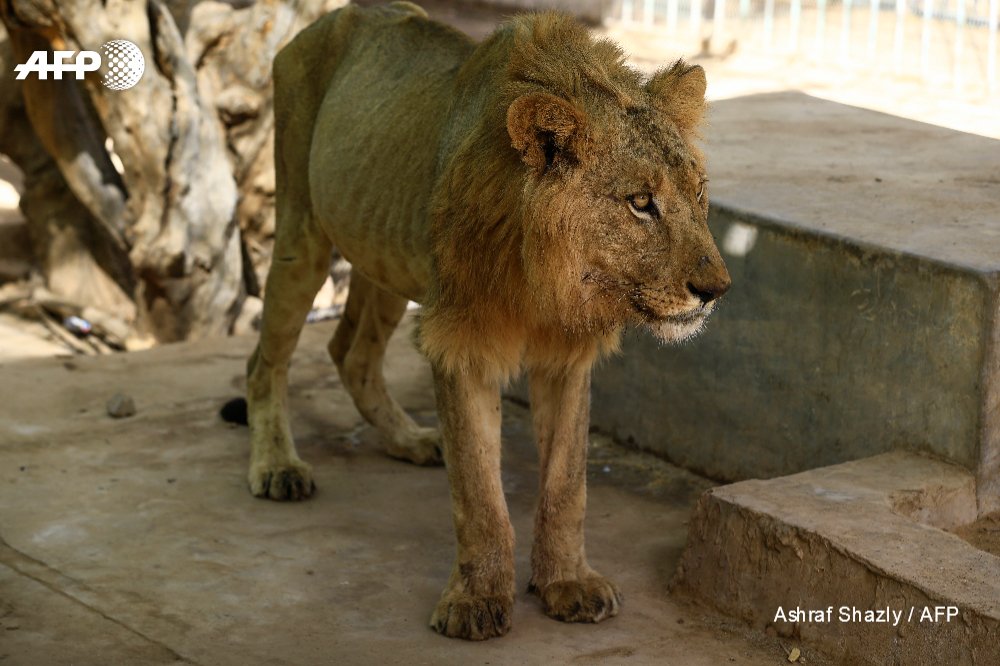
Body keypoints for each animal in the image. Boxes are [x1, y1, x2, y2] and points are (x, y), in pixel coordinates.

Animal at [246, 0, 732, 640]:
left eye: (699, 195)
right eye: (640, 203)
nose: (717, 289)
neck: (545, 280)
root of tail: (327, 21)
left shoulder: (566, 356)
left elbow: (566, 486)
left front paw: (567, 582)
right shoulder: (459, 341)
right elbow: (478, 492)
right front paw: (475, 600)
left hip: (391, 259)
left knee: (351, 354)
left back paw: (408, 439)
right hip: (302, 234)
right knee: (265, 362)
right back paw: (278, 465)